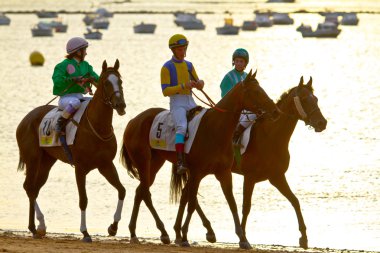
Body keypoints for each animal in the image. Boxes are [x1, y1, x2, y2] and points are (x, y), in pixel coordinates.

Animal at [16, 59, 127, 243]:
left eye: (120, 81)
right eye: (106, 83)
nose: (120, 105)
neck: (96, 126)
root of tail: (25, 119)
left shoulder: (105, 165)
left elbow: (122, 190)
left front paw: (113, 227)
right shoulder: (80, 169)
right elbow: (83, 200)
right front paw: (85, 232)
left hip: (46, 161)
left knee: (34, 188)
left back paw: (39, 226)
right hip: (33, 159)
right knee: (29, 187)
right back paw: (34, 227)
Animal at [121, 69, 282, 249]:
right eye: (256, 92)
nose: (276, 111)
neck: (215, 128)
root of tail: (132, 121)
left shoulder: (224, 173)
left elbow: (231, 202)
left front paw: (243, 239)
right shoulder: (197, 173)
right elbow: (191, 203)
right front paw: (184, 236)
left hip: (155, 163)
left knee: (140, 191)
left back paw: (145, 232)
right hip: (143, 161)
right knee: (145, 192)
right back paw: (151, 232)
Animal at [174, 75, 328, 249]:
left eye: (316, 99)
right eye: (304, 99)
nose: (322, 123)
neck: (270, 136)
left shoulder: (277, 177)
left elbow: (295, 201)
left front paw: (304, 237)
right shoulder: (250, 177)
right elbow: (246, 207)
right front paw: (243, 237)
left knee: (186, 194)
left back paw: (190, 232)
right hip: (198, 170)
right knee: (189, 195)